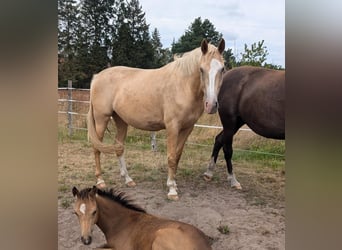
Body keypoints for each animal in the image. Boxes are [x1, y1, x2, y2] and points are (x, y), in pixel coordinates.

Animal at [87, 38, 224, 199]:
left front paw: (174, 183)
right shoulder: (172, 127)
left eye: (222, 69)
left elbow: (177, 156)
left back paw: (128, 180)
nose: (212, 105)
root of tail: (97, 77)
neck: (183, 85)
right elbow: (171, 157)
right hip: (101, 119)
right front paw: (171, 189)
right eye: (201, 69)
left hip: (120, 120)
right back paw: (100, 181)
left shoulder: (187, 129)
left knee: (119, 148)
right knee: (96, 148)